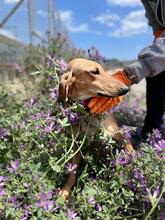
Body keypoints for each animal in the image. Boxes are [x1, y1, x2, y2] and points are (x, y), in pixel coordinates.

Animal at [58, 57, 133, 200]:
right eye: (94, 71)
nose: (125, 89)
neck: (86, 114)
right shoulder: (76, 146)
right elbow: (72, 172)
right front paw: (65, 191)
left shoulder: (120, 137)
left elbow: (131, 152)